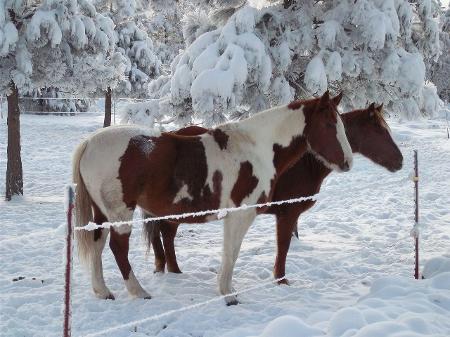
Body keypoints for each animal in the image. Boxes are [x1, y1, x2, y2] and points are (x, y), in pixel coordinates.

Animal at [73, 90, 352, 302]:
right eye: (329, 124)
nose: (347, 162)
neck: (255, 148)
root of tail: (90, 142)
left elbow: (230, 251)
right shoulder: (240, 214)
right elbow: (231, 253)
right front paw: (228, 293)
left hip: (102, 213)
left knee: (98, 244)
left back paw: (103, 291)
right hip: (120, 212)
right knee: (118, 248)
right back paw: (138, 291)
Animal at [148, 103, 404, 282]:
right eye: (379, 131)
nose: (400, 161)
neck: (302, 163)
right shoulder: (287, 214)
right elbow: (283, 248)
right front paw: (281, 280)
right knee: (166, 234)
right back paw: (175, 272)